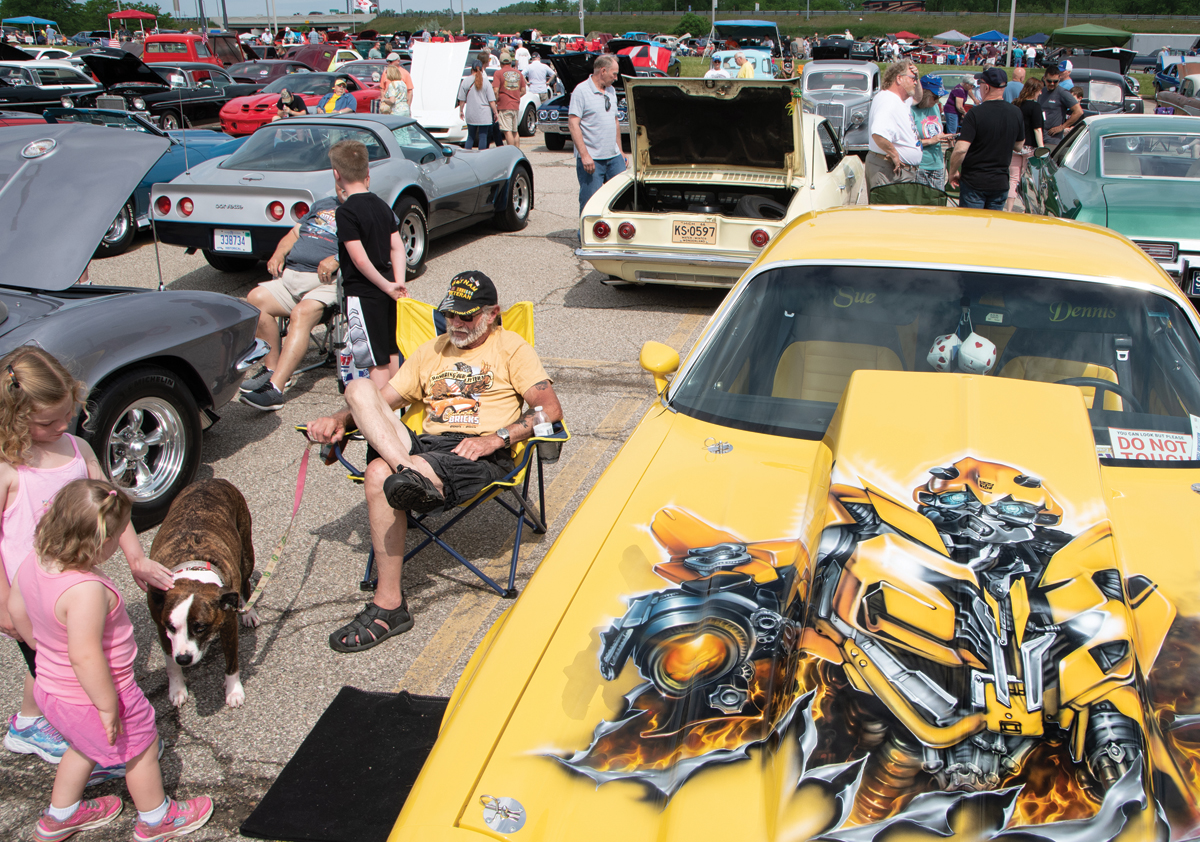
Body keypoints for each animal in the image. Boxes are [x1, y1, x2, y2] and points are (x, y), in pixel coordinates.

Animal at [147, 478, 259, 708]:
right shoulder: (161, 627)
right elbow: (170, 664)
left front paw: (233, 690)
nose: (184, 659)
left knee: (245, 582)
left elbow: (232, 661)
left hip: (246, 550)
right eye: (171, 627)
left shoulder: (228, 624)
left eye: (201, 628)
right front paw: (177, 688)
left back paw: (249, 611)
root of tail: (211, 479)